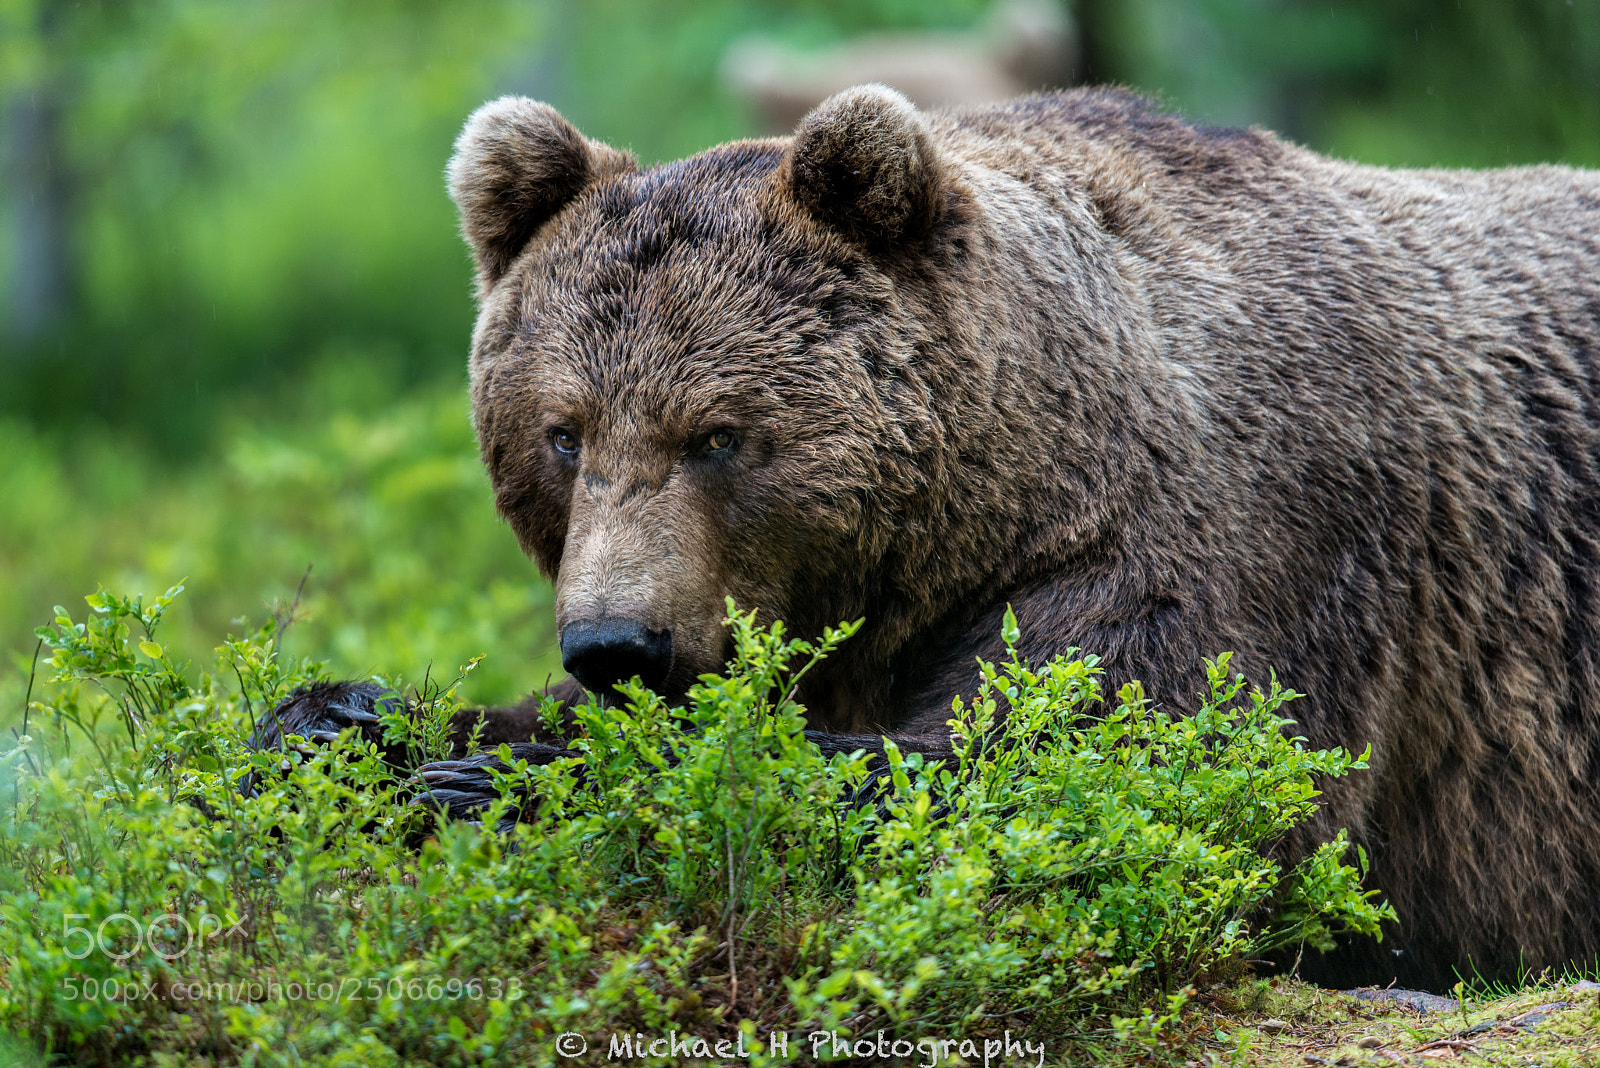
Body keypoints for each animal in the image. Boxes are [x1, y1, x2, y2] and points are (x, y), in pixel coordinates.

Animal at [256, 85, 1600, 991]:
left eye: (717, 434)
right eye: (563, 434)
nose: (616, 645)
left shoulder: (1235, 536)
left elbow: (1105, 777)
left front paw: (505, 783)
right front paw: (341, 727)